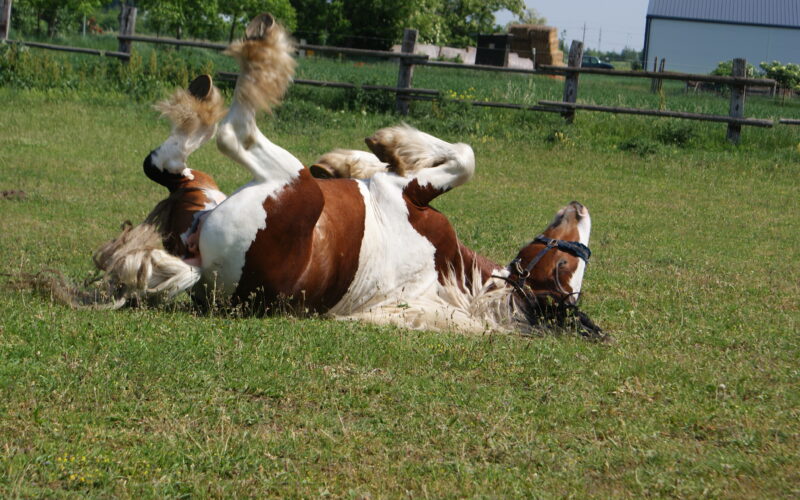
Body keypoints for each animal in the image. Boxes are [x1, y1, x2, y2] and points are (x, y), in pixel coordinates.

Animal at [94, 14, 603, 337]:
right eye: (565, 267)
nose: (580, 208)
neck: (453, 274)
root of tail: (196, 265)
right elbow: (437, 158)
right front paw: (364, 155)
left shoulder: (412, 194)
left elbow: (464, 157)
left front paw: (388, 142)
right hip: (206, 190)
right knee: (167, 164)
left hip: (291, 183)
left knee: (229, 134)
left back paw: (255, 55)